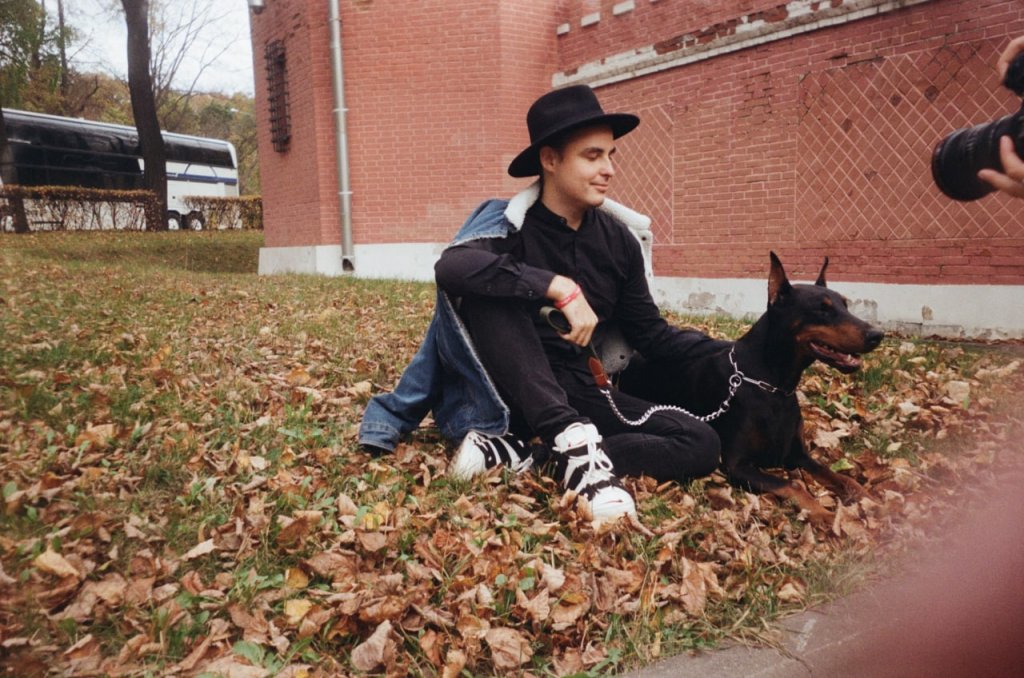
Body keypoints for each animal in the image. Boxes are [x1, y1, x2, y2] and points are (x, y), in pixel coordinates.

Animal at [619, 252, 884, 522]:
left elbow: (840, 477)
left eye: (845, 305)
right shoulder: (737, 465)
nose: (877, 335)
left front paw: (873, 502)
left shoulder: (798, 454)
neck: (774, 386)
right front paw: (828, 516)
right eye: (822, 309)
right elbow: (793, 485)